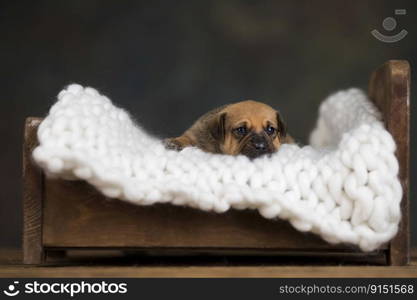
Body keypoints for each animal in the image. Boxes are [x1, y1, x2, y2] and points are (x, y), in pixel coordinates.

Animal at [163, 100, 292, 159]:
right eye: (241, 130)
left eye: (270, 130)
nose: (260, 146)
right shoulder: (196, 133)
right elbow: (187, 138)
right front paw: (175, 142)